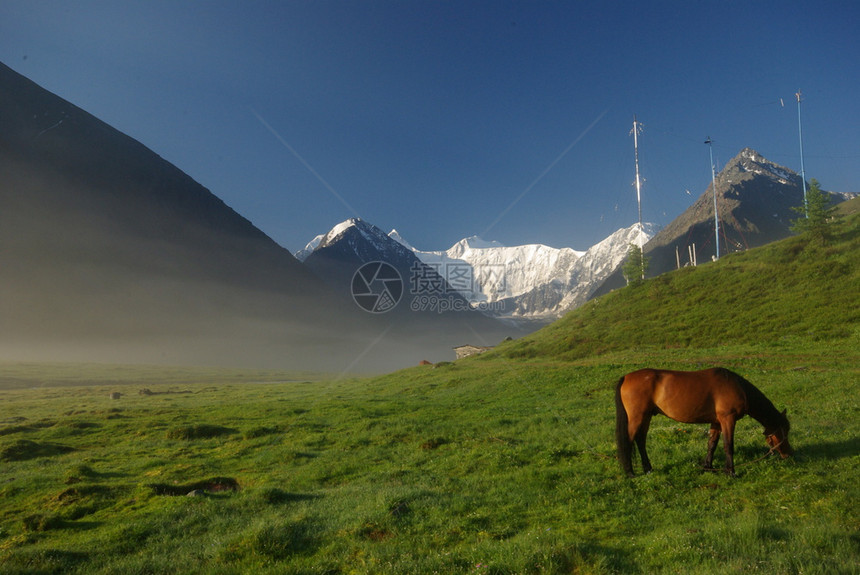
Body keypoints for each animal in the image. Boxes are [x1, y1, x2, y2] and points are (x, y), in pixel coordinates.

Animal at [612, 368, 792, 476]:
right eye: (783, 431)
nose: (788, 454)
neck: (737, 387)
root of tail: (626, 377)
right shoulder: (728, 419)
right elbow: (728, 445)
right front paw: (731, 472)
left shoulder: (717, 422)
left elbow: (712, 444)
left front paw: (708, 467)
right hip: (637, 417)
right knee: (629, 441)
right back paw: (630, 473)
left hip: (647, 416)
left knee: (641, 440)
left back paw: (648, 469)